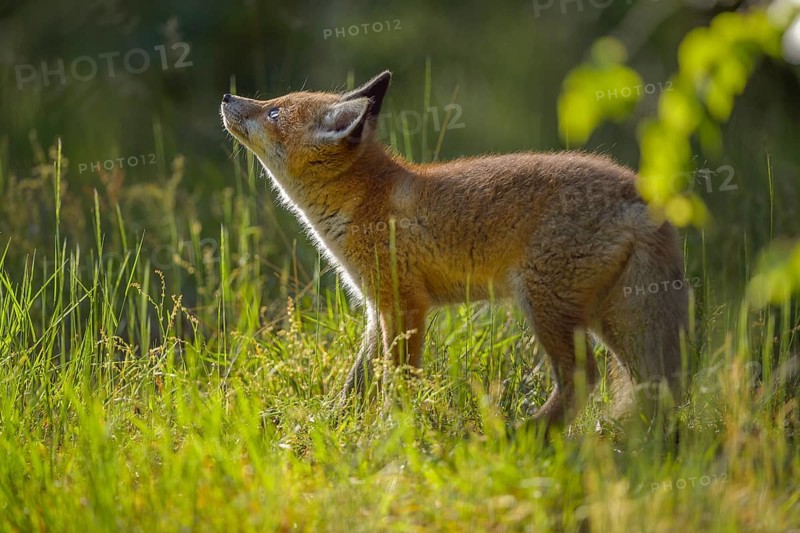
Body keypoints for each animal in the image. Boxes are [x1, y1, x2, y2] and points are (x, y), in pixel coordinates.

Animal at [220, 70, 690, 424]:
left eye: (273, 110)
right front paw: (333, 425)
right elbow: (358, 381)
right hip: (611, 317)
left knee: (582, 378)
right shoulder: (378, 308)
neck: (365, 201)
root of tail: (643, 191)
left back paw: (526, 436)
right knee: (651, 386)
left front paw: (390, 432)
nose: (226, 95)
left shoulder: (405, 304)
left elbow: (399, 381)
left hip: (547, 305)